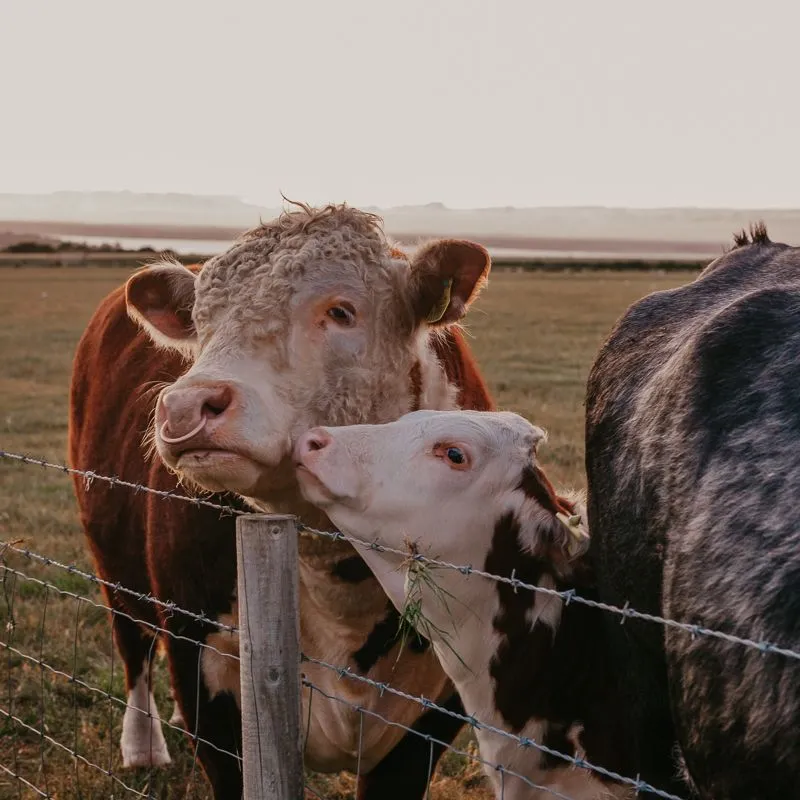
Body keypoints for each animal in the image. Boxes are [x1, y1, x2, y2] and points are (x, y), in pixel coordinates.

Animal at [67, 202, 496, 799]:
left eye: (341, 311)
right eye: (200, 320)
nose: (187, 404)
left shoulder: (431, 718)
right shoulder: (205, 676)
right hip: (110, 556)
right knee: (132, 644)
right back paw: (143, 744)